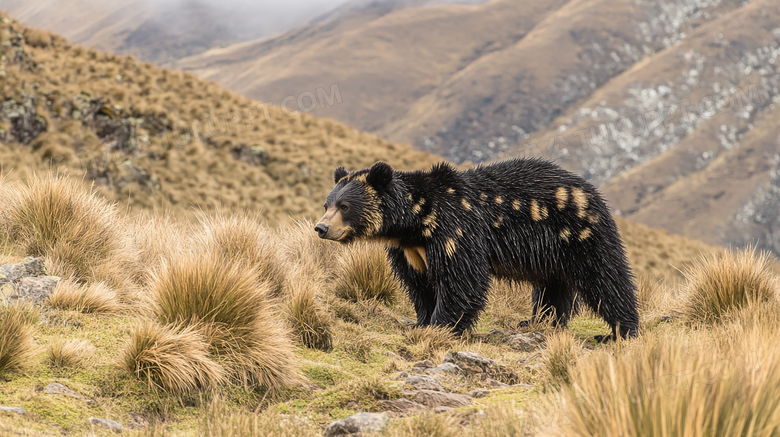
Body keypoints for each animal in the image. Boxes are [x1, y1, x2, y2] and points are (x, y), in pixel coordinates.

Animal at [314, 158, 636, 338]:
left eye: (345, 206)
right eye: (327, 204)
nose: (320, 228)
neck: (417, 221)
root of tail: (592, 192)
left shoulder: (455, 228)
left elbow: (462, 279)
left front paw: (442, 325)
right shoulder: (410, 251)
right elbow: (418, 284)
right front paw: (421, 322)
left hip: (580, 235)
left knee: (606, 278)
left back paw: (621, 330)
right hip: (552, 252)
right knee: (553, 286)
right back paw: (538, 322)